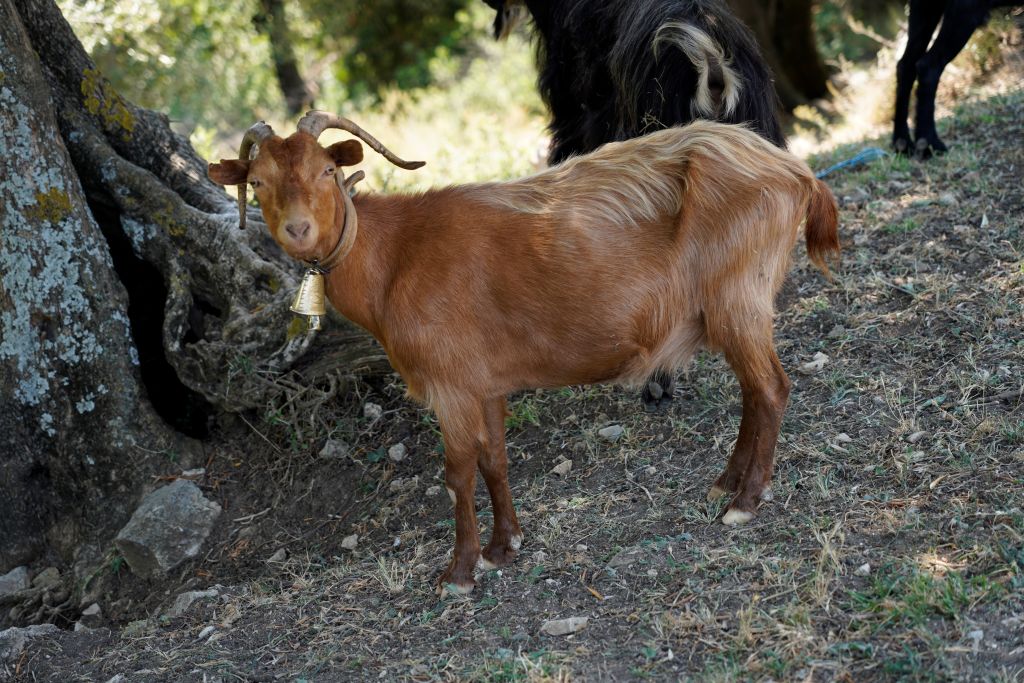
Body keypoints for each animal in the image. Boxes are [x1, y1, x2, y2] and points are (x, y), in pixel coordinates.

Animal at [208, 111, 839, 595]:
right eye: (258, 182)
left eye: (327, 170)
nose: (297, 230)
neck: (394, 258)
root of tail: (796, 171)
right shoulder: (484, 383)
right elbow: (495, 460)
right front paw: (503, 546)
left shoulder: (450, 385)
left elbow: (457, 473)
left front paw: (460, 572)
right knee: (754, 391)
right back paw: (727, 484)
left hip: (738, 296)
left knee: (771, 387)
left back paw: (746, 501)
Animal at [893, 0, 1018, 157]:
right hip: (965, 10)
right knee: (928, 65)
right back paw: (929, 143)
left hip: (924, 8)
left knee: (905, 65)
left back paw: (902, 142)